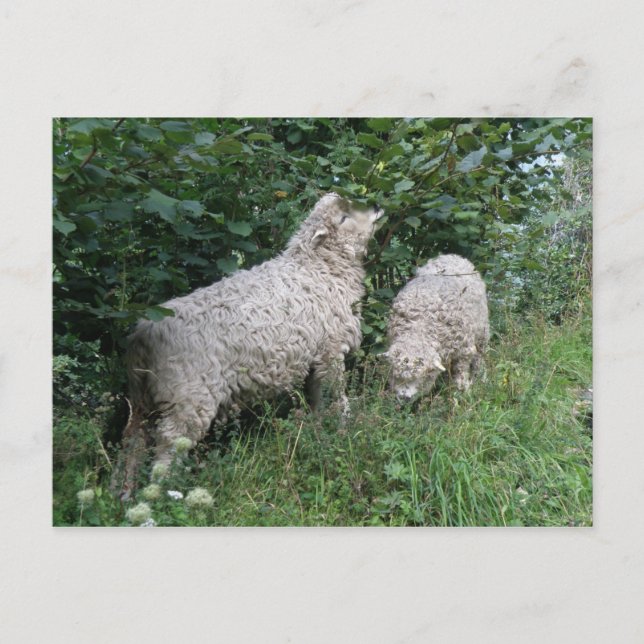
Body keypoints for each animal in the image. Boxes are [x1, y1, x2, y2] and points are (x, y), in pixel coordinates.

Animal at [112, 193, 383, 497]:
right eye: (344, 218)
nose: (375, 206)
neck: (319, 268)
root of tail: (143, 334)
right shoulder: (330, 350)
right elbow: (336, 395)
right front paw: (345, 426)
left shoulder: (315, 356)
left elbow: (316, 398)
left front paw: (317, 429)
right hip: (188, 397)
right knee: (169, 443)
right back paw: (164, 492)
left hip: (143, 399)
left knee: (132, 440)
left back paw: (120, 492)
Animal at [383, 254, 489, 399]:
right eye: (397, 374)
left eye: (421, 376)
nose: (404, 397)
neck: (419, 328)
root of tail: (451, 256)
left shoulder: (464, 350)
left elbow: (461, 373)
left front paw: (463, 391)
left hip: (482, 331)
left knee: (480, 355)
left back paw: (481, 376)